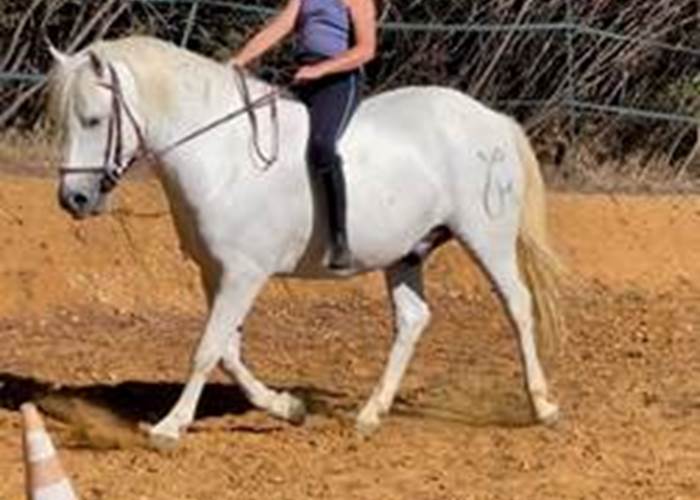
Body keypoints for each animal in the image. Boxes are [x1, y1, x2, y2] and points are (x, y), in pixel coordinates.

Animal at [48, 35, 564, 448]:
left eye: (93, 120)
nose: (73, 199)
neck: (222, 156)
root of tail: (491, 119)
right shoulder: (216, 274)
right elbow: (228, 353)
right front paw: (288, 407)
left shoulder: (243, 276)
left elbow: (206, 350)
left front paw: (169, 428)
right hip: (405, 253)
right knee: (413, 320)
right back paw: (370, 415)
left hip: (486, 238)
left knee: (518, 305)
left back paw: (543, 407)